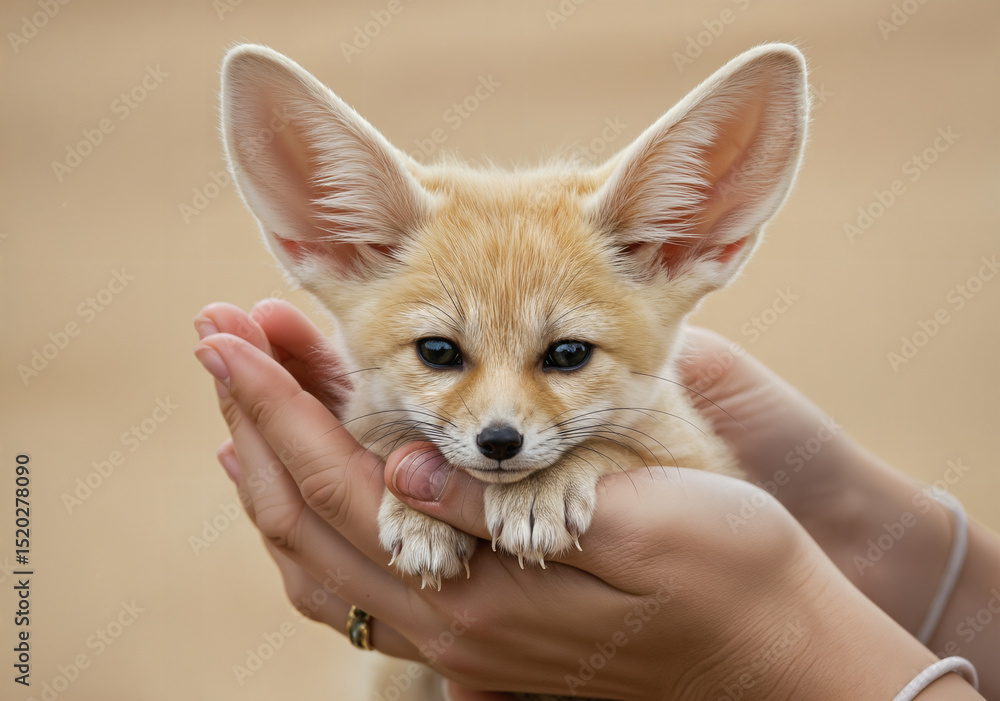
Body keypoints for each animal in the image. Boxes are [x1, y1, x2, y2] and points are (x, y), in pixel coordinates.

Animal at [219, 42, 807, 610]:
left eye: (568, 354)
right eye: (438, 351)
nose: (499, 442)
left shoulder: (704, 460)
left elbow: (619, 446)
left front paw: (541, 488)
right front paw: (420, 515)